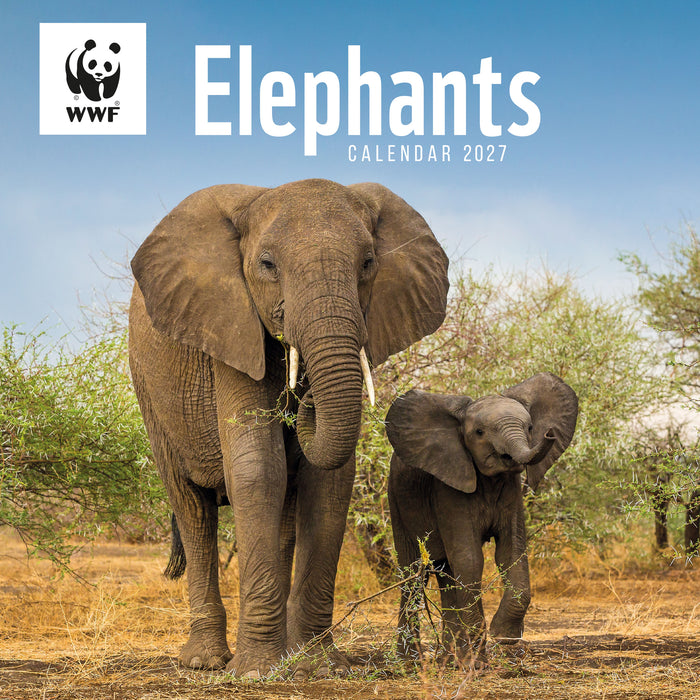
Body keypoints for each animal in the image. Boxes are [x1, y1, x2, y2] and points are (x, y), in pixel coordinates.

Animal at [128, 178, 449, 677]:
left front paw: (317, 667)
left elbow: (328, 482)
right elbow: (259, 468)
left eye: (368, 263)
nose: (302, 402)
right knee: (192, 507)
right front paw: (256, 672)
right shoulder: (231, 327)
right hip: (151, 394)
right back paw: (206, 661)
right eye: (267, 265)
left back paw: (280, 655)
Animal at [385, 373, 578, 666]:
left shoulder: (512, 490)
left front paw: (502, 638)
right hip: (396, 500)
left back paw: (449, 661)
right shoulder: (448, 487)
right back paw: (411, 664)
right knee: (412, 574)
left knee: (445, 573)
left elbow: (511, 553)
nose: (549, 434)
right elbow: (470, 559)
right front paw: (478, 661)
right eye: (479, 433)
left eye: (530, 427)